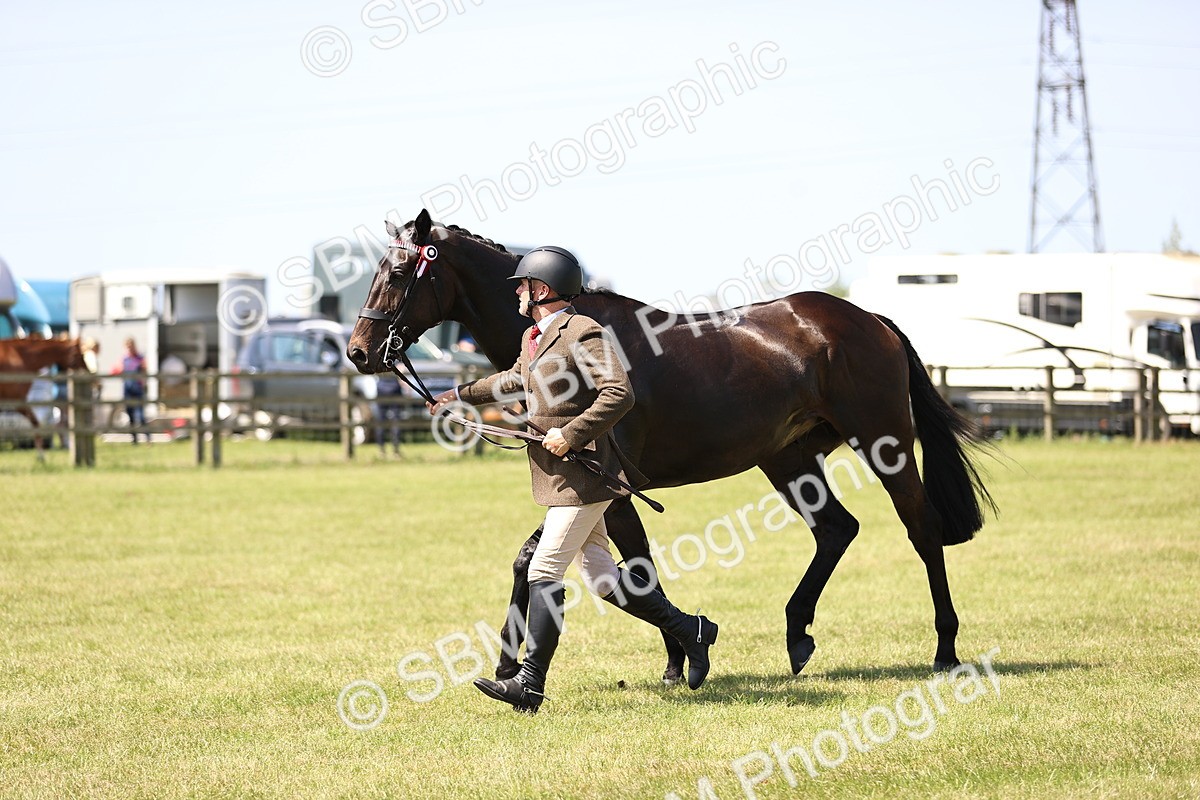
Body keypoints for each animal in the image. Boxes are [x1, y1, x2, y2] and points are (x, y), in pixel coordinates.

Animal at [347, 209, 995, 682]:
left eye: (400, 275)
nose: (359, 350)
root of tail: (869, 319)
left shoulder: (611, 490)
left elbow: (635, 573)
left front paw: (684, 657)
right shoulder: (585, 484)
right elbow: (538, 562)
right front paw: (514, 665)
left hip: (883, 442)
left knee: (921, 528)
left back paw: (944, 649)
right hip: (787, 457)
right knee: (836, 529)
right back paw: (797, 635)